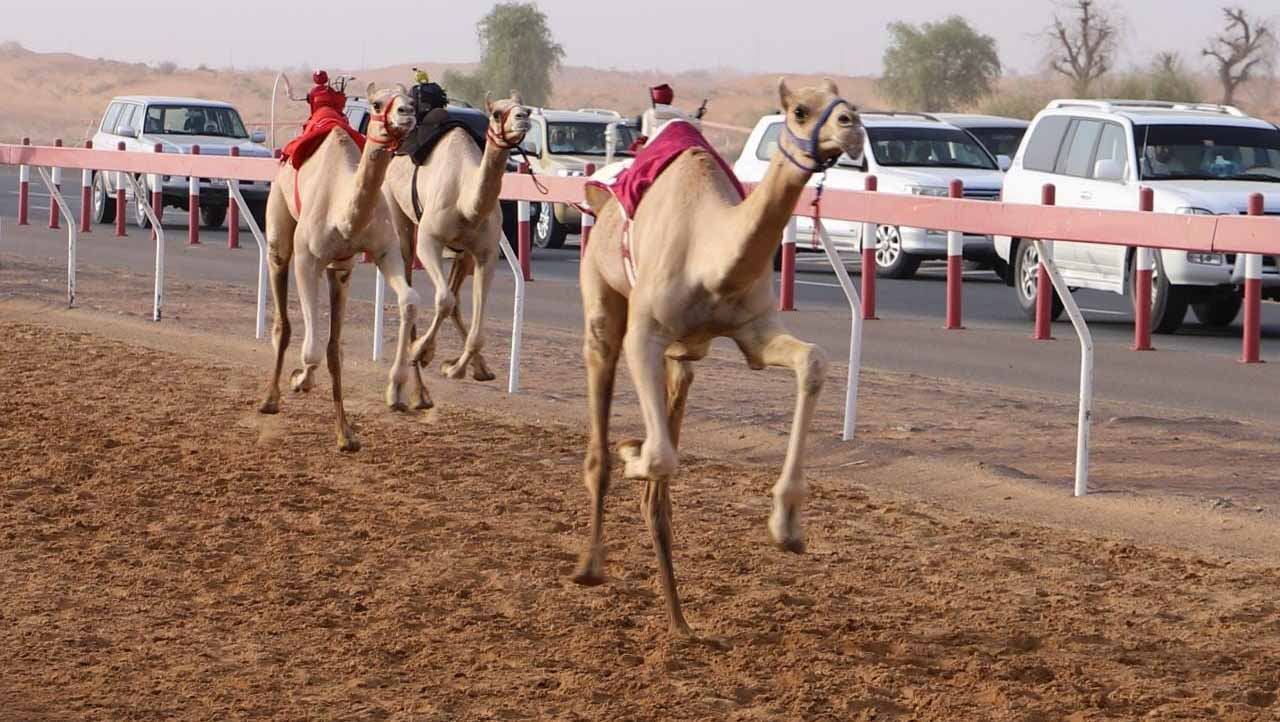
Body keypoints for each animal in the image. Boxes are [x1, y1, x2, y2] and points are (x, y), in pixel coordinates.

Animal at [257, 81, 422, 448]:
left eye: (411, 99)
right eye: (377, 104)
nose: (407, 113)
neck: (343, 214)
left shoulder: (378, 254)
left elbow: (407, 302)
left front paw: (390, 395)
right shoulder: (308, 260)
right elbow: (312, 349)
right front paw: (299, 380)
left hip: (337, 273)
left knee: (333, 347)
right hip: (279, 234)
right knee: (284, 322)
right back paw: (270, 399)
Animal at [378, 92, 529, 407]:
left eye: (526, 109)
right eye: (497, 113)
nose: (523, 118)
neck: (465, 201)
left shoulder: (485, 254)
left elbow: (473, 323)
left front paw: (456, 368)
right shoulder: (430, 241)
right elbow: (444, 300)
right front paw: (422, 352)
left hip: (464, 255)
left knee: (456, 296)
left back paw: (471, 370)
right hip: (398, 213)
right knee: (412, 282)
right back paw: (412, 388)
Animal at [576, 76, 865, 634]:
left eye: (851, 105)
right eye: (799, 110)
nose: (852, 127)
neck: (709, 255)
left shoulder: (753, 331)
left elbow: (813, 360)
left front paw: (786, 526)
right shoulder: (644, 333)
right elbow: (659, 456)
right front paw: (632, 452)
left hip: (683, 358)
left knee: (664, 470)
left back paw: (681, 623)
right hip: (601, 299)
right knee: (602, 428)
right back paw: (591, 564)